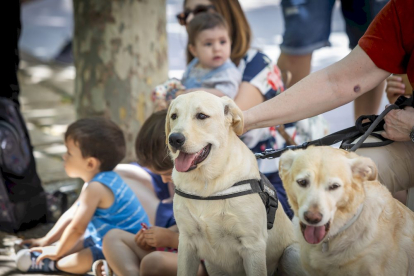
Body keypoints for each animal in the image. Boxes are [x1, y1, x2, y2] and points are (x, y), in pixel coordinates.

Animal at [167, 92, 306, 276]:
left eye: (202, 116)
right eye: (174, 116)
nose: (174, 139)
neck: (206, 184)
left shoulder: (253, 246)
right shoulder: (186, 242)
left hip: (291, 253)